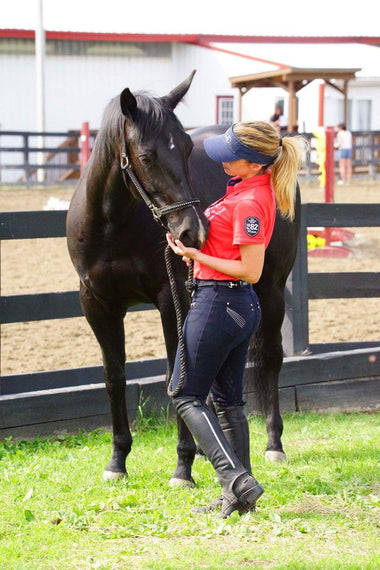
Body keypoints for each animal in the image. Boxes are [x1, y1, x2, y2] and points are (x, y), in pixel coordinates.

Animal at [67, 71, 302, 484]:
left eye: (189, 150)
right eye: (146, 156)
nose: (193, 232)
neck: (112, 225)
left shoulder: (169, 299)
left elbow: (173, 377)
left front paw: (182, 466)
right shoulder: (97, 304)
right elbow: (114, 376)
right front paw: (117, 461)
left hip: (270, 290)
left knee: (271, 358)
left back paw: (274, 444)